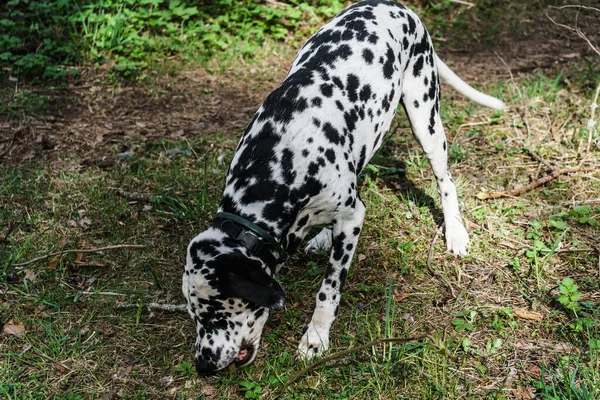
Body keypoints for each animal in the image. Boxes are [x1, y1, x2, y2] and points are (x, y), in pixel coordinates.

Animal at [183, 0, 502, 376]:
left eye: (215, 312)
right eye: (193, 314)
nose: (203, 365)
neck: (282, 160)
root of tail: (397, 6)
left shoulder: (350, 220)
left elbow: (328, 289)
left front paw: (316, 336)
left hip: (426, 120)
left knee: (445, 180)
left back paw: (455, 231)